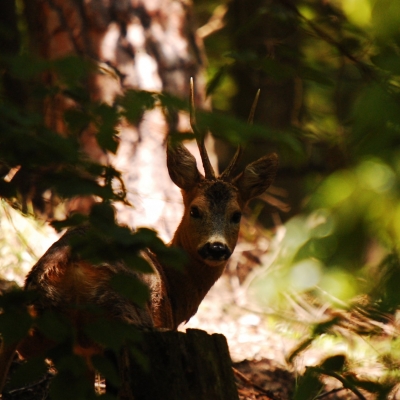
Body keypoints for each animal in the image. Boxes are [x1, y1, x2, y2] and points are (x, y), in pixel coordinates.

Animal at [0, 80, 278, 390]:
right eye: (195, 210)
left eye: (236, 214)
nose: (216, 248)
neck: (175, 286)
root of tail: (69, 265)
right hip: (124, 323)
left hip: (31, 327)